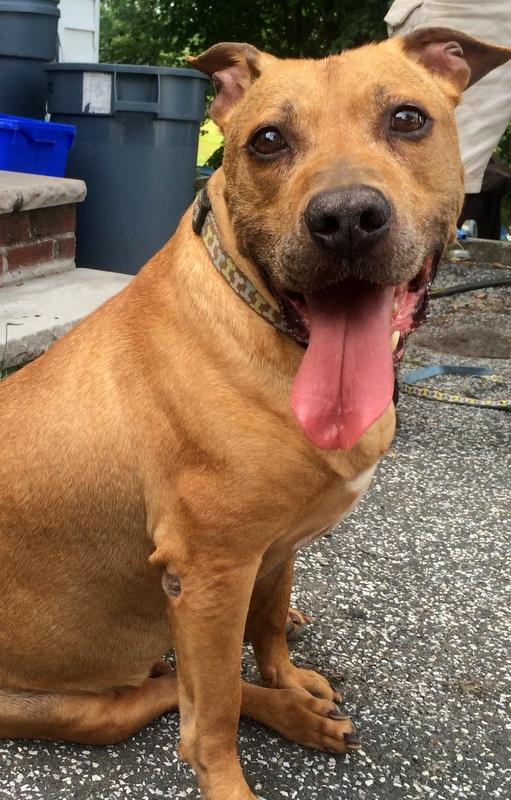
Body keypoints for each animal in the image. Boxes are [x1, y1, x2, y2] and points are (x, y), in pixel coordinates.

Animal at [0, 26, 510, 800]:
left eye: (407, 119)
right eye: (267, 140)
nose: (346, 219)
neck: (267, 327)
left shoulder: (279, 543)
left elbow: (266, 625)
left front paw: (287, 676)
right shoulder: (211, 574)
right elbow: (210, 718)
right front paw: (239, 767)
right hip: (87, 711)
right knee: (169, 697)